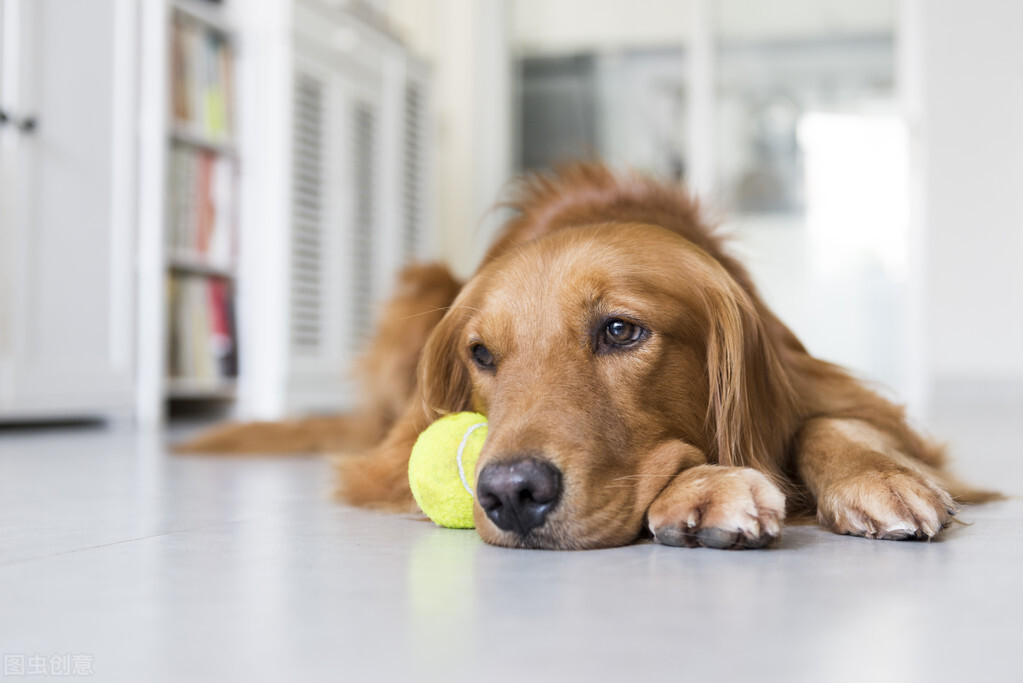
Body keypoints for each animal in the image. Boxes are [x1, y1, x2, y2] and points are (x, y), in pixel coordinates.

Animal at [184, 163, 990, 548]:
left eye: (620, 331)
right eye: (482, 353)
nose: (511, 493)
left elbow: (838, 422)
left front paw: (877, 476)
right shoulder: (386, 460)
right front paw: (705, 485)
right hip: (420, 285)